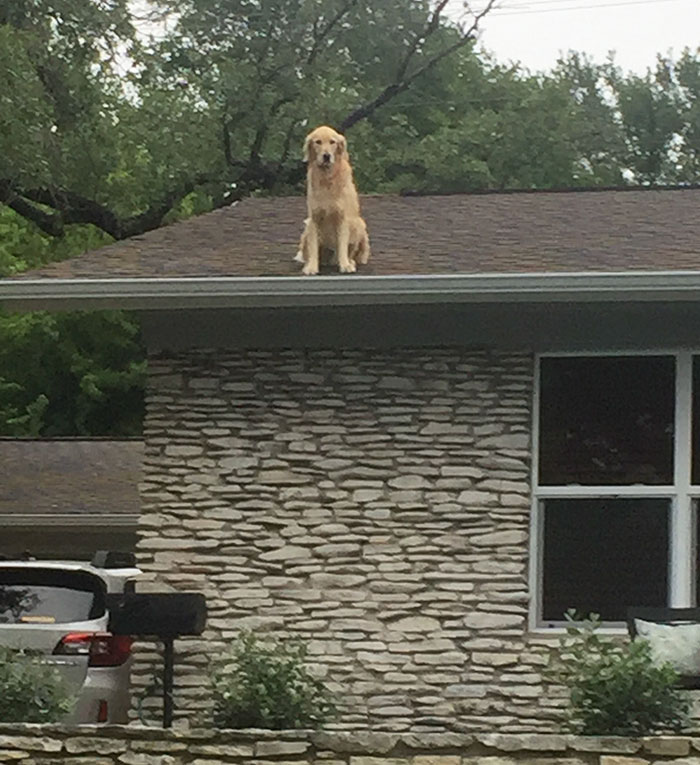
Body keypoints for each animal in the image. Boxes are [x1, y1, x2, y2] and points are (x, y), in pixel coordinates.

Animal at [296, 125, 372, 278]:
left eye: (332, 142)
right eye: (318, 142)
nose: (326, 156)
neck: (327, 179)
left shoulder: (342, 218)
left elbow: (342, 245)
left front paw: (345, 265)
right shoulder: (314, 218)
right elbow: (313, 248)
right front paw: (311, 267)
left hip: (359, 224)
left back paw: (350, 261)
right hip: (307, 228)